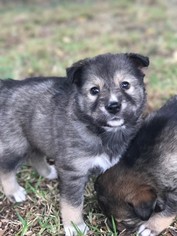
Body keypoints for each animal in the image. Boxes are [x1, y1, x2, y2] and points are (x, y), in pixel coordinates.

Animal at [0, 52, 149, 235]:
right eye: (94, 90)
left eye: (125, 85)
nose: (113, 106)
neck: (102, 132)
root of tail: (7, 87)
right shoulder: (74, 172)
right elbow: (73, 203)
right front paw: (75, 227)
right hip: (16, 144)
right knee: (6, 168)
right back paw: (14, 192)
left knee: (35, 154)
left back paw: (48, 172)